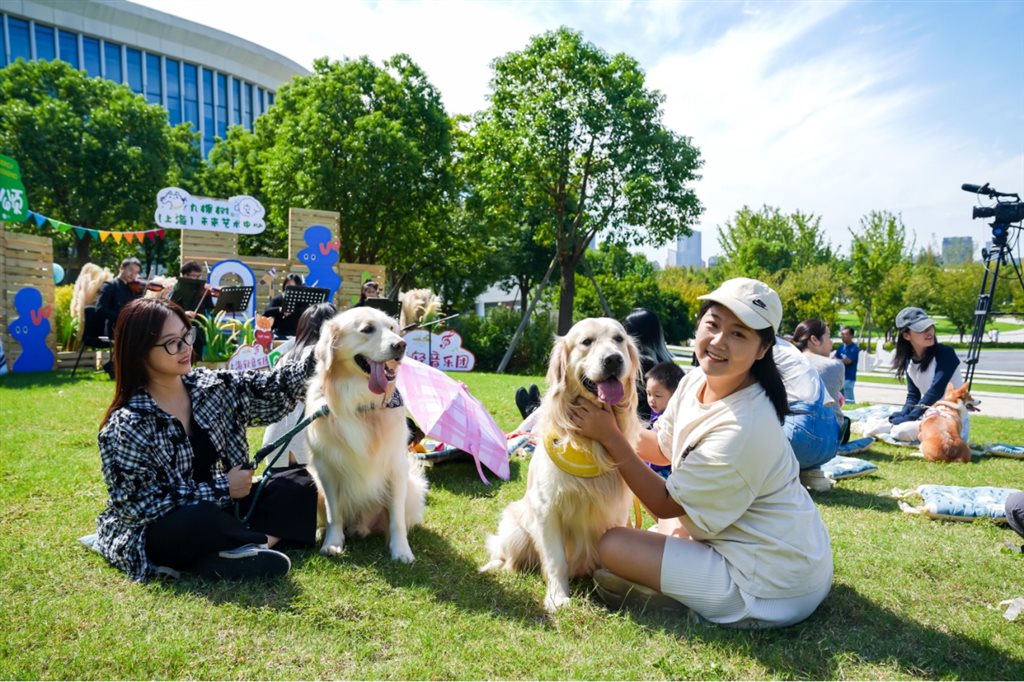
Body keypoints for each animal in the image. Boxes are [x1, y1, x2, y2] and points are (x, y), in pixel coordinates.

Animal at [307, 307, 428, 561]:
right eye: (367, 329)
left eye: (392, 328)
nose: (401, 345)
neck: (362, 403)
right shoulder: (325, 469)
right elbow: (334, 514)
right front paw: (332, 542)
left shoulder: (397, 468)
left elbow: (397, 520)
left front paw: (401, 550)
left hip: (413, 489)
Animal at [479, 315, 638, 606]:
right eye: (586, 342)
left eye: (619, 339)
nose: (613, 359)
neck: (586, 441)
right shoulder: (547, 509)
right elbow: (556, 560)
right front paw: (557, 597)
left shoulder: (617, 511)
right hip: (515, 528)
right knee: (506, 557)